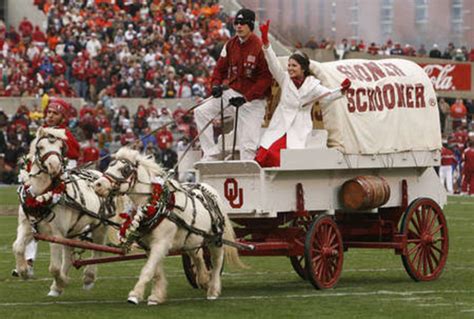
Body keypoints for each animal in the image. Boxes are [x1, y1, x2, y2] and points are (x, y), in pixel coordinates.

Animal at [13, 127, 122, 298]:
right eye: (41, 147)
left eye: (60, 147)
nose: (54, 166)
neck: (40, 196)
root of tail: (99, 175)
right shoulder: (27, 227)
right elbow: (17, 247)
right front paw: (23, 271)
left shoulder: (57, 234)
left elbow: (54, 268)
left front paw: (60, 282)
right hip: (72, 231)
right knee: (69, 253)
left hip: (99, 226)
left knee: (97, 250)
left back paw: (88, 278)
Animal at [92, 149, 244, 306]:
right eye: (110, 165)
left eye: (124, 170)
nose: (97, 185)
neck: (157, 205)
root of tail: (209, 189)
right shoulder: (149, 246)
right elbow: (156, 271)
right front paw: (156, 296)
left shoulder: (161, 243)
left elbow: (148, 270)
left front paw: (135, 294)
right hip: (191, 239)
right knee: (198, 256)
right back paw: (203, 280)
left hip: (215, 239)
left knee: (216, 261)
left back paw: (213, 289)